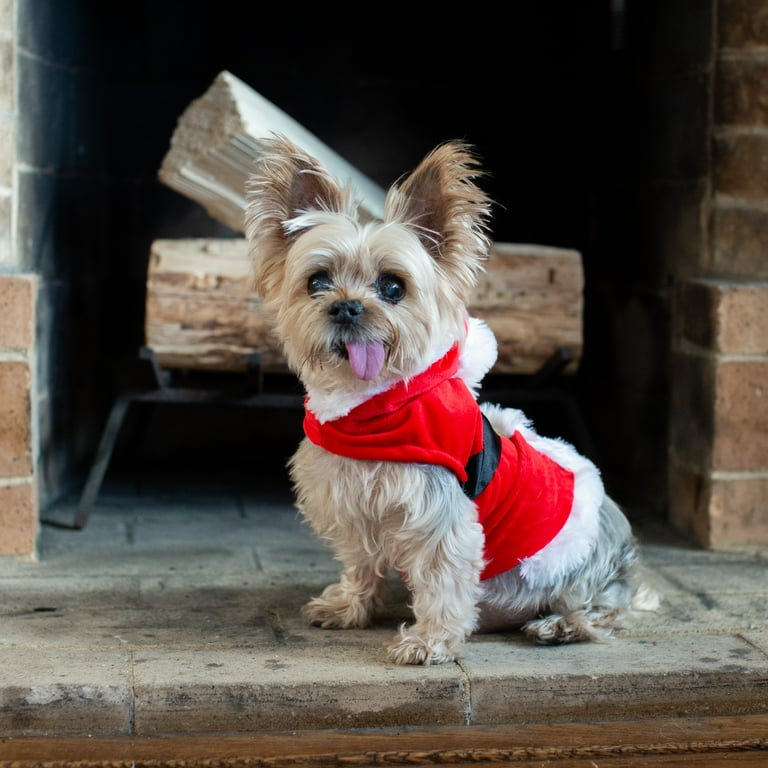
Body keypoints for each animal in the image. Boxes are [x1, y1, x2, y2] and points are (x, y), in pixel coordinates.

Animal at [243, 135, 656, 664]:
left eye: (392, 286)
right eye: (317, 281)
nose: (346, 307)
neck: (370, 407)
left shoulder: (440, 513)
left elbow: (442, 578)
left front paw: (429, 641)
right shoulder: (350, 501)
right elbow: (360, 561)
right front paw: (350, 607)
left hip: (578, 573)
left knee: (605, 612)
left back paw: (560, 626)